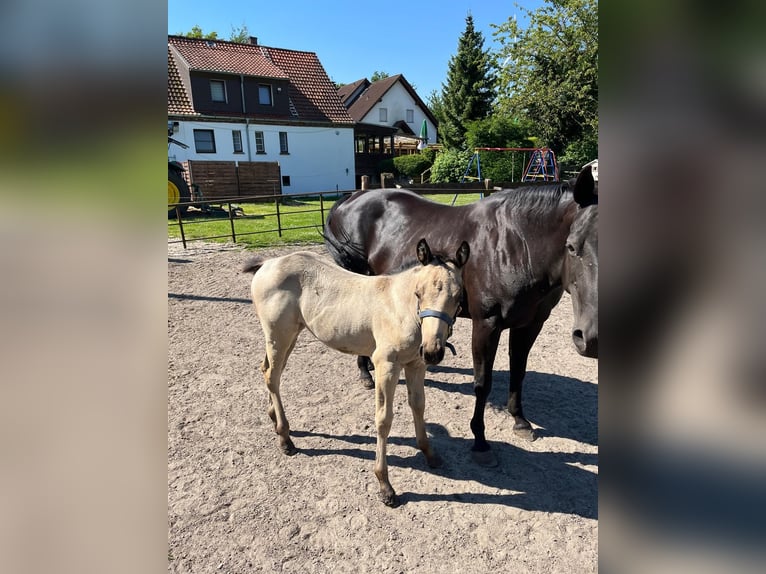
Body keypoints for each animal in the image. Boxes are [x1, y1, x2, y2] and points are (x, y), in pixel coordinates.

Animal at [324, 165, 600, 468]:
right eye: (572, 246)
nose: (591, 338)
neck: (518, 244)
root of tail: (352, 198)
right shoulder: (486, 324)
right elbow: (482, 382)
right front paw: (480, 441)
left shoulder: (531, 324)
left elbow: (518, 372)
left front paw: (519, 421)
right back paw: (364, 373)